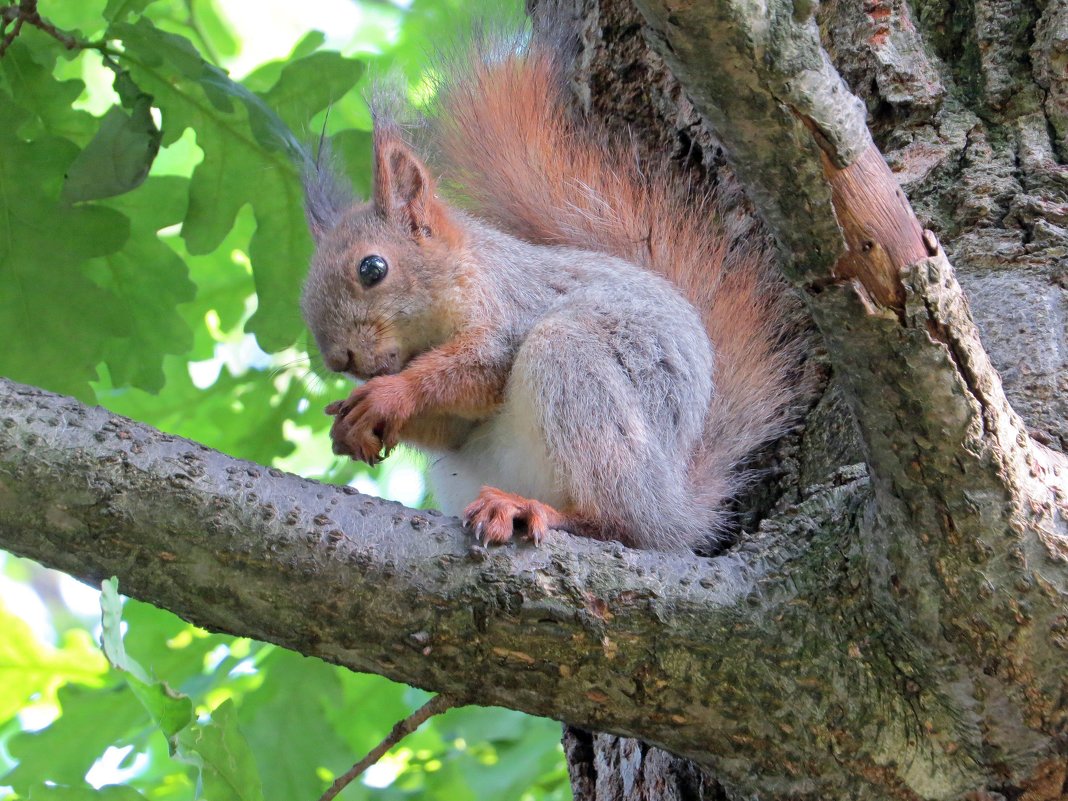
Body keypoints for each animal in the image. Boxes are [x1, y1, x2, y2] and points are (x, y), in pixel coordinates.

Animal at [296, 23, 798, 551]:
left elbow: (482, 365)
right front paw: (352, 427)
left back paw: (534, 510)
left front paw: (390, 394)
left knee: (619, 521)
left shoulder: (511, 304)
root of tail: (674, 507)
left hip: (579, 378)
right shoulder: (458, 421)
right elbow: (453, 424)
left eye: (373, 268)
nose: (341, 360)